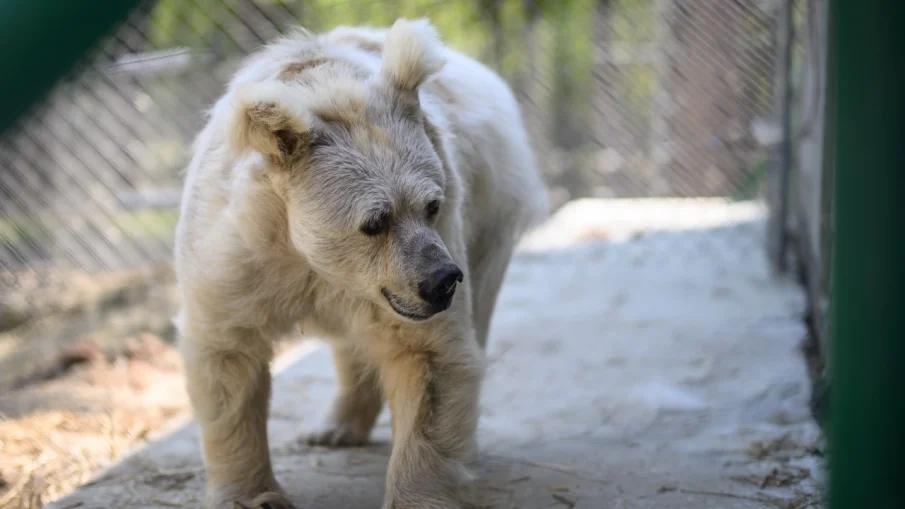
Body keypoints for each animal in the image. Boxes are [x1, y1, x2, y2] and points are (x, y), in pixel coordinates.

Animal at [174, 17, 548, 508]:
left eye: (431, 204)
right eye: (375, 221)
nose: (442, 281)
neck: (305, 257)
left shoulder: (438, 240)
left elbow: (430, 361)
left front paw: (413, 493)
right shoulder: (235, 259)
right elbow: (228, 358)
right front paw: (251, 494)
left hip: (490, 215)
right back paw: (332, 428)